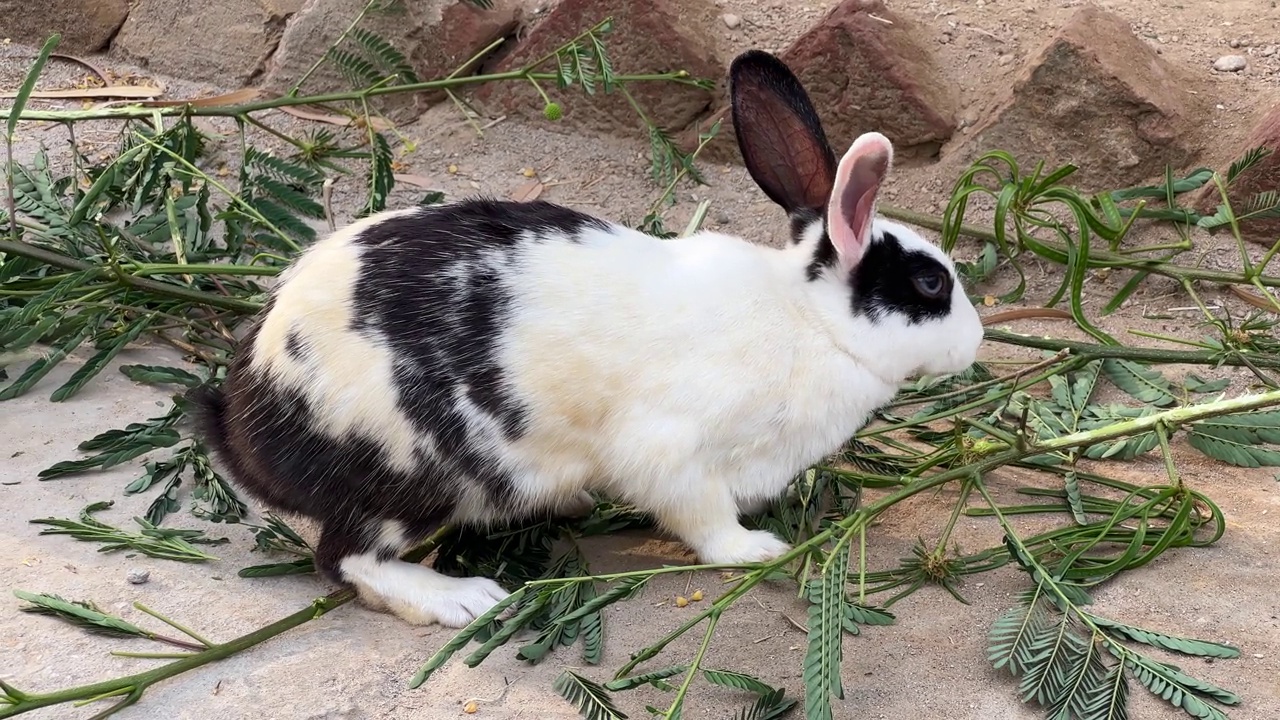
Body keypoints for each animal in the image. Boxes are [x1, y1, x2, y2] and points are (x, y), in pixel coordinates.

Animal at [185, 47, 983, 625]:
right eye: (930, 284)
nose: (976, 342)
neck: (807, 320)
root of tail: (249, 420)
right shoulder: (673, 452)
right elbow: (703, 519)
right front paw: (757, 549)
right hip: (411, 476)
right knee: (350, 560)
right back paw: (462, 599)